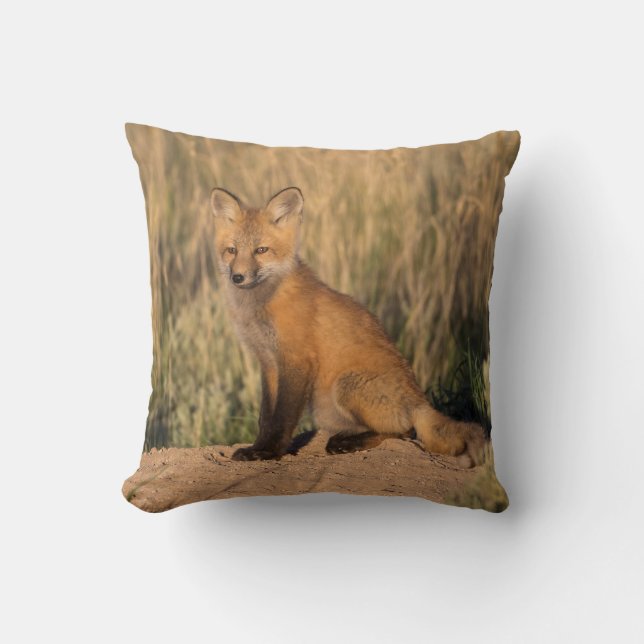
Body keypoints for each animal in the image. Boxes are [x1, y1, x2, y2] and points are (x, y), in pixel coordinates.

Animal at [210, 186, 487, 467]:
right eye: (232, 250)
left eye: (261, 250)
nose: (237, 277)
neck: (260, 306)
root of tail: (421, 401)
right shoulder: (268, 362)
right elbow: (266, 416)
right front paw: (258, 446)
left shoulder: (296, 359)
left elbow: (282, 418)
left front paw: (268, 452)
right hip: (325, 409)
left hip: (346, 385)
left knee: (404, 430)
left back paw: (347, 443)